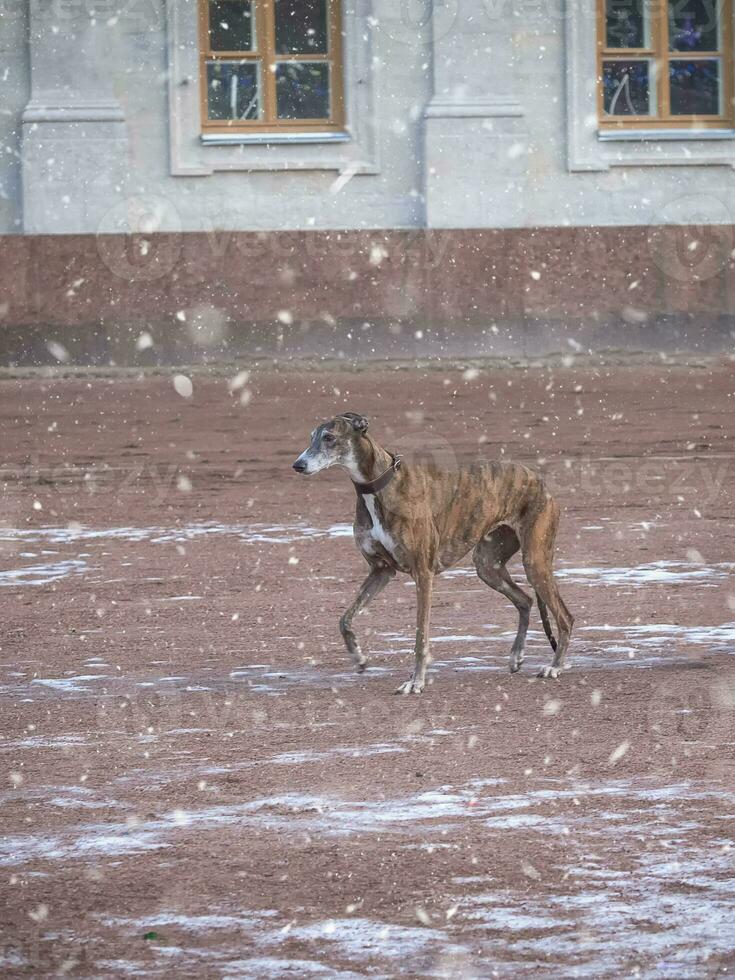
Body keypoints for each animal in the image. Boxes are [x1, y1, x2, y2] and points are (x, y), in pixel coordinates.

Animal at [294, 414, 576, 696]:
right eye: (312, 437)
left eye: (329, 437)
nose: (298, 465)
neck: (378, 489)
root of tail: (540, 481)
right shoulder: (381, 571)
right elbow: (344, 619)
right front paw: (359, 658)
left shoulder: (423, 573)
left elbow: (421, 636)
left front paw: (415, 681)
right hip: (487, 566)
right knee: (525, 600)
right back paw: (517, 656)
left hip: (534, 560)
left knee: (565, 617)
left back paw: (555, 666)